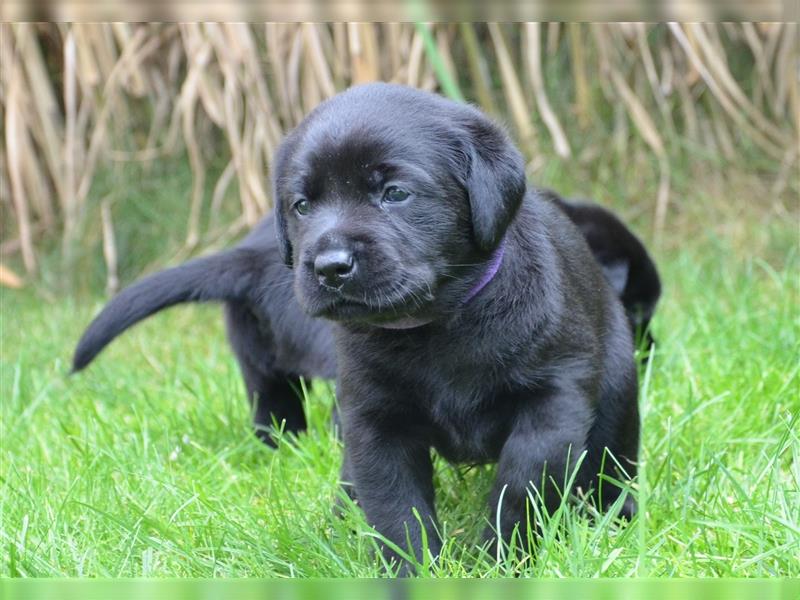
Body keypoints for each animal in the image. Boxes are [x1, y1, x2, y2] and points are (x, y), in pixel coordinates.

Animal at [73, 82, 664, 568]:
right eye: (302, 204)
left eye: (395, 193)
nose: (329, 266)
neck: (436, 324)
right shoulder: (372, 418)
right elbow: (396, 507)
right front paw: (414, 574)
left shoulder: (551, 405)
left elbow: (521, 493)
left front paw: (501, 566)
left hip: (616, 390)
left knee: (611, 456)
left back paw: (616, 514)